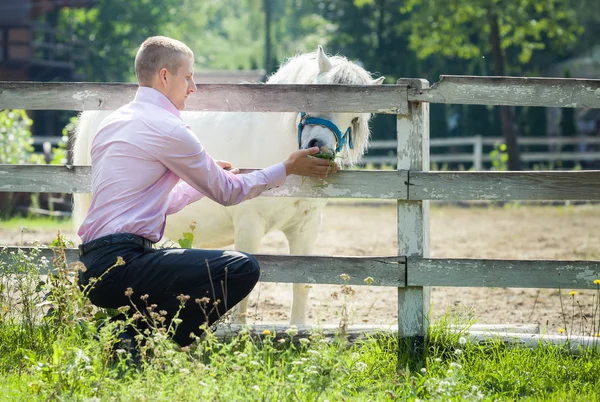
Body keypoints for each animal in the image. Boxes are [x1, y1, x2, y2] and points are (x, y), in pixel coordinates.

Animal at [74, 46, 384, 324]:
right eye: (314, 99)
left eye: (355, 117)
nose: (318, 149)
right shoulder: (249, 226)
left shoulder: (306, 229)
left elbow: (302, 284)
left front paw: (297, 331)